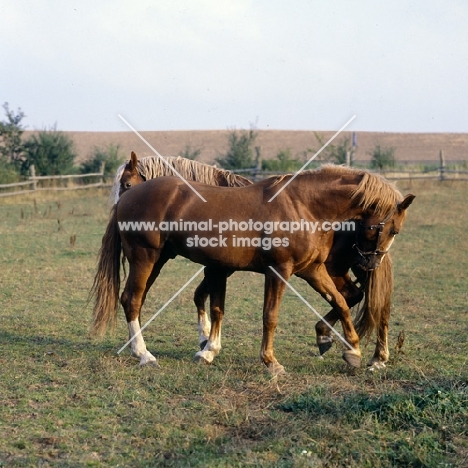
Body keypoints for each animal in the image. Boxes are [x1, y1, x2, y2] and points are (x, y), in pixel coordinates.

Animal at [94, 163, 414, 374]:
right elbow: (269, 316)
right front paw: (270, 362)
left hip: (156, 261)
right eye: (388, 228)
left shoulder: (312, 269)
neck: (305, 206)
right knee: (132, 300)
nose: (370, 262)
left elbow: (341, 302)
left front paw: (353, 350)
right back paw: (143, 354)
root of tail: (129, 199)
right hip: (145, 258)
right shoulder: (278, 271)